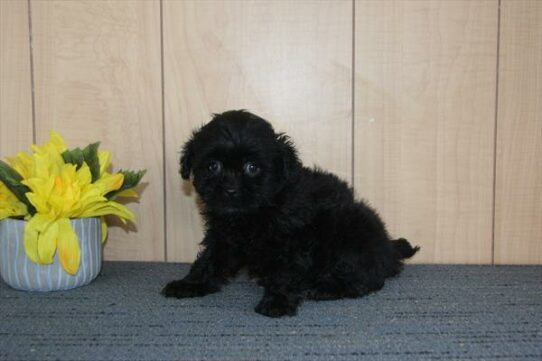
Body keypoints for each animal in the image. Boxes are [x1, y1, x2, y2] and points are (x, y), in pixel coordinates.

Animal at [163, 109, 420, 316]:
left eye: (252, 167)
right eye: (213, 166)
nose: (230, 189)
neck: (255, 212)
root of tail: (388, 247)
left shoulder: (293, 241)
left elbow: (285, 272)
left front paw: (278, 301)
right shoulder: (222, 237)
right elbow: (208, 261)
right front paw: (190, 283)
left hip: (347, 232)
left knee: (368, 278)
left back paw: (326, 287)